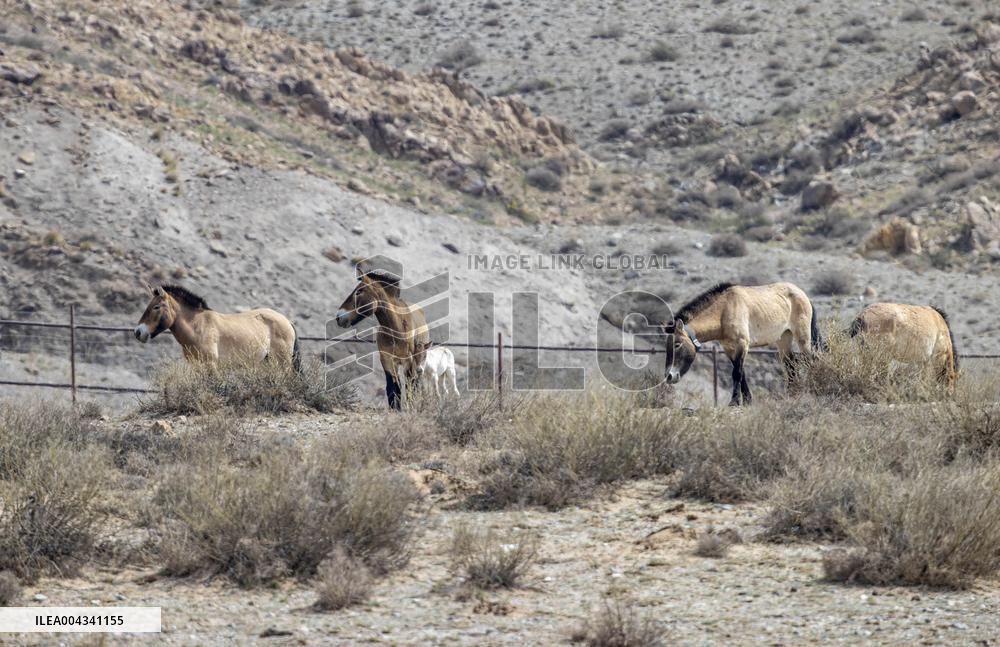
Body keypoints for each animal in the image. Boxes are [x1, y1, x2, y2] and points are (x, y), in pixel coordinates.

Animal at [134, 284, 300, 368]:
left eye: (156, 307)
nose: (138, 332)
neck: (197, 327)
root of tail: (287, 321)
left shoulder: (210, 364)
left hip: (282, 361)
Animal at [335, 271, 430, 410]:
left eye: (359, 291)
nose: (338, 317)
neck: (395, 328)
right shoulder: (386, 360)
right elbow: (393, 387)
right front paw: (395, 409)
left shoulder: (409, 361)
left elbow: (408, 387)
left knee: (414, 384)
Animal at [663, 282, 825, 406]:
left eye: (677, 344)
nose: (669, 376)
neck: (724, 310)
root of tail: (803, 295)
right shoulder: (729, 349)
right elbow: (741, 373)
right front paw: (747, 401)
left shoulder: (742, 344)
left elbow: (737, 373)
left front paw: (734, 402)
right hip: (784, 338)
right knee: (790, 364)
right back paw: (792, 394)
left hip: (803, 338)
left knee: (811, 360)